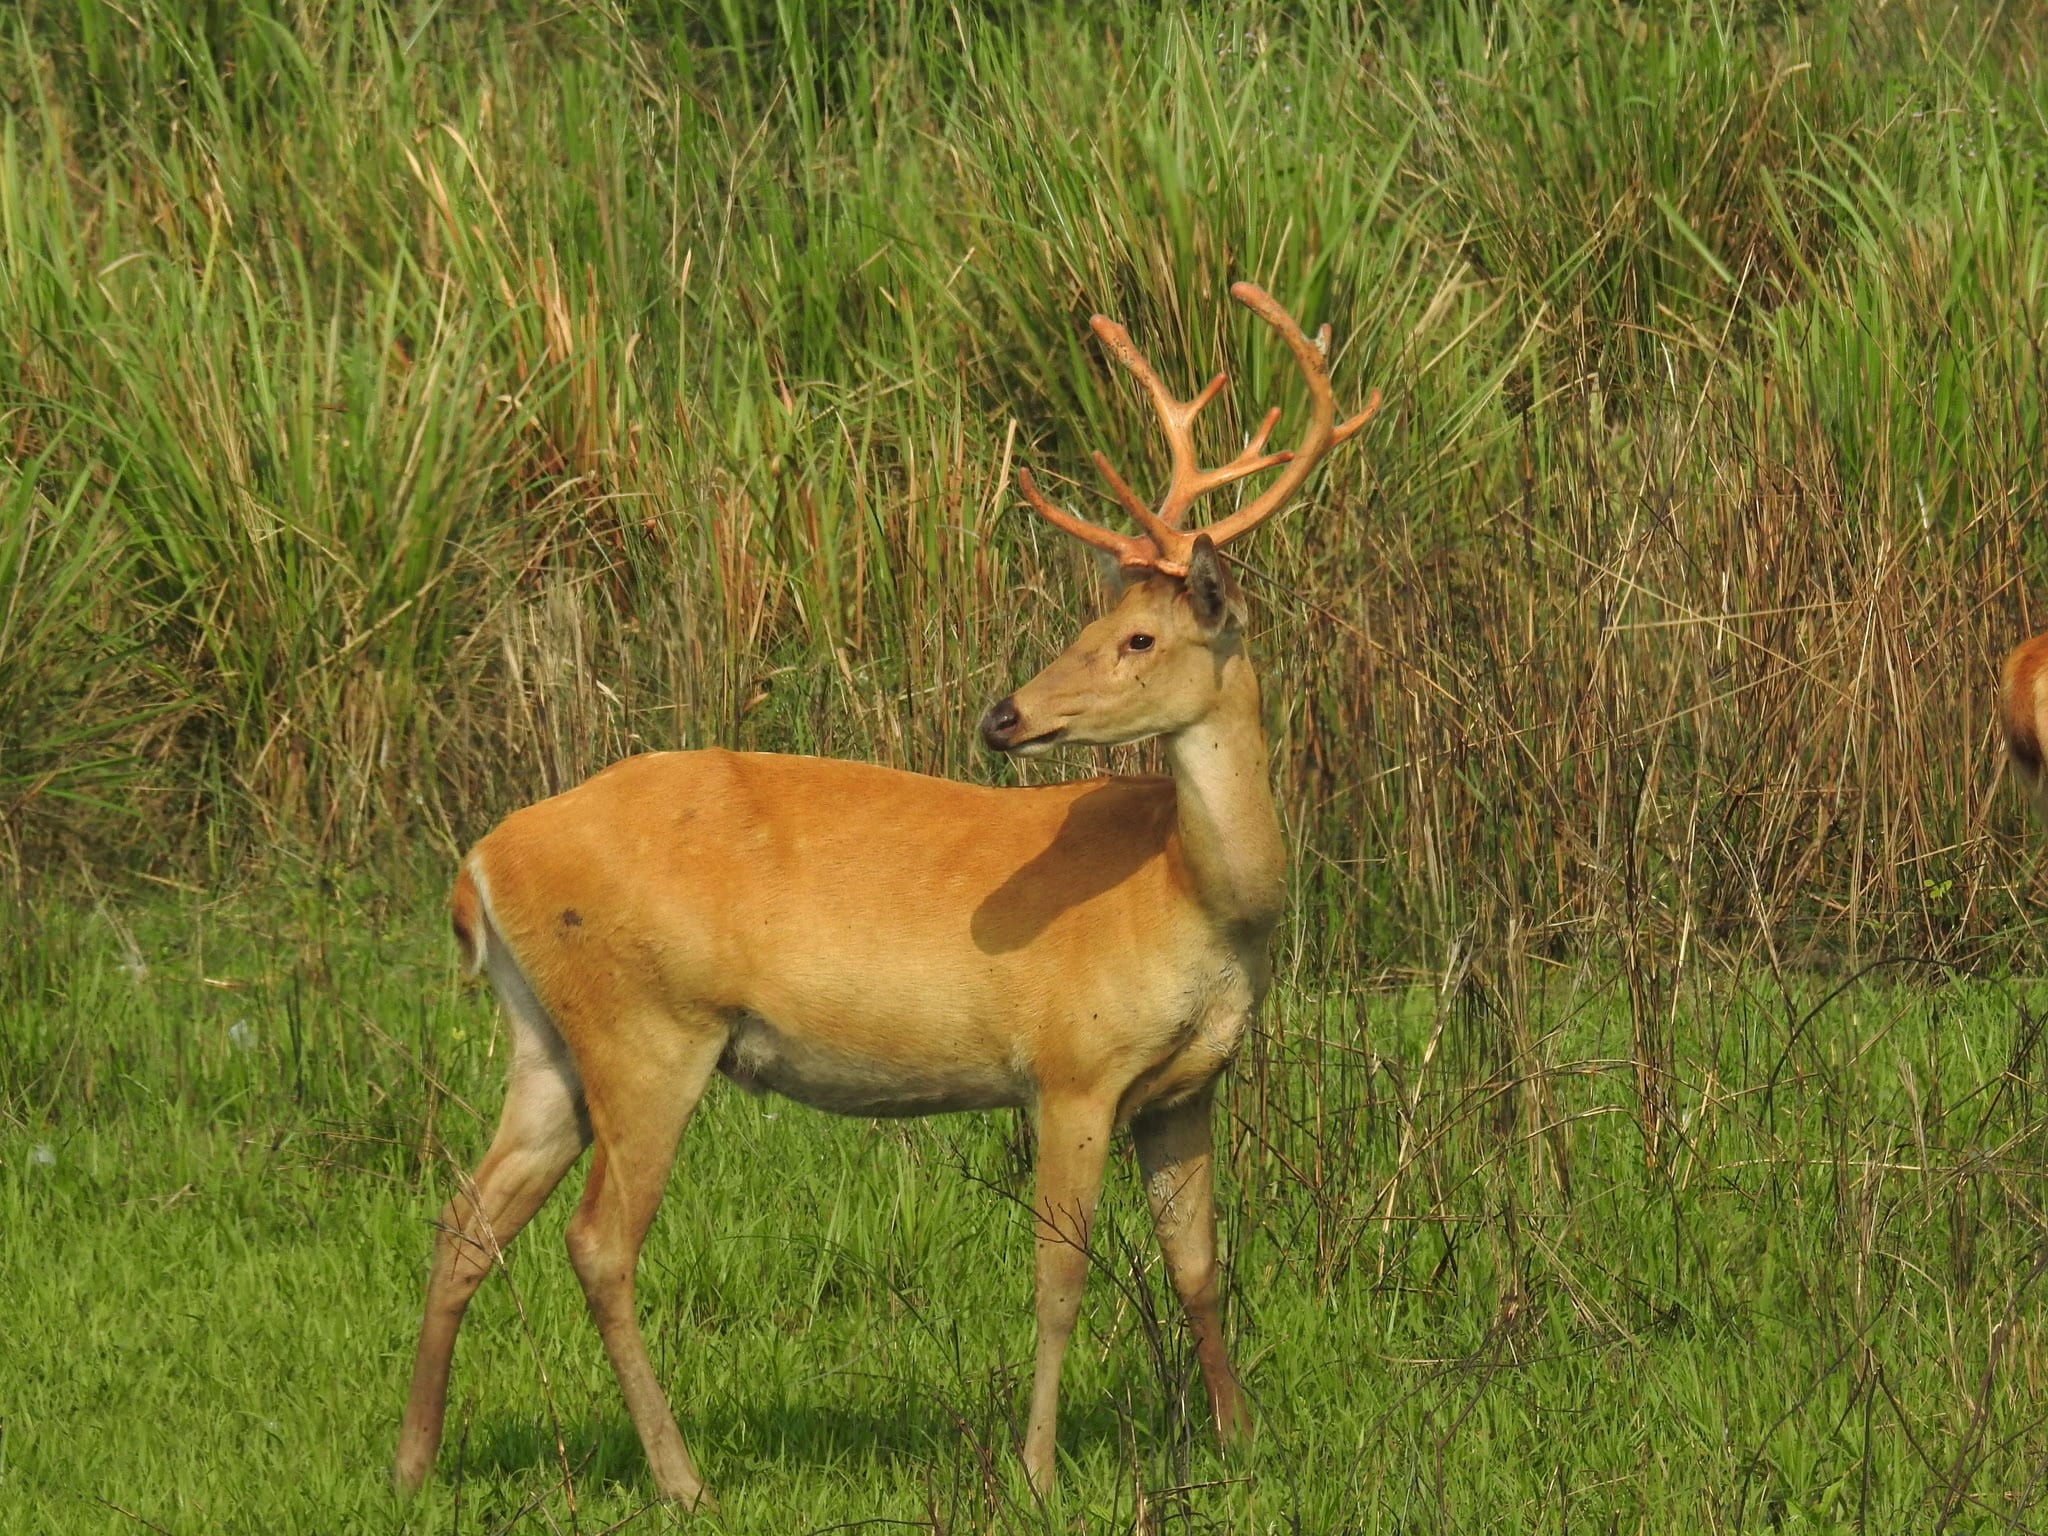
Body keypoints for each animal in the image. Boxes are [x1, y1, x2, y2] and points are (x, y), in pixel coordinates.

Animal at [392, 282, 1380, 1509]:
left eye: (1137, 636)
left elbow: (1197, 1265)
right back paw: (682, 1480)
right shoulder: (1071, 1063)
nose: (1004, 715)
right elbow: (1060, 1272)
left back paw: (413, 1464)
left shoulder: (1186, 1084)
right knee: (599, 1242)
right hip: (645, 1024)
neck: (1195, 895)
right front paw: (1035, 1471)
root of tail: (478, 864)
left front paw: (1241, 1442)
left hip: (548, 1038)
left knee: (465, 1219)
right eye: (1091, 628)